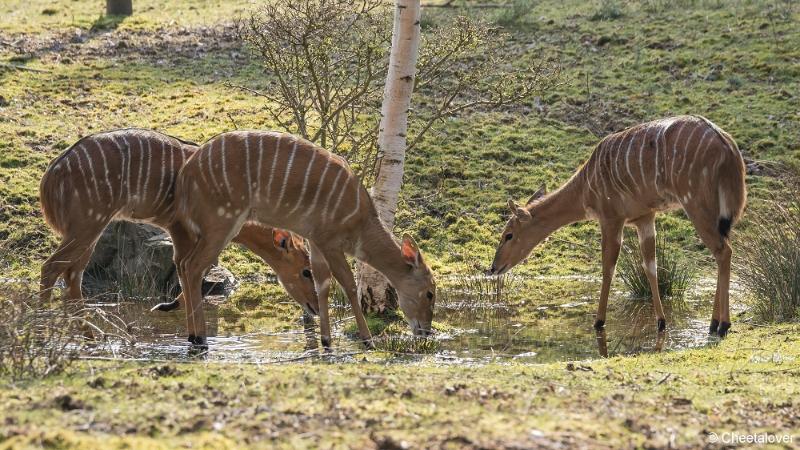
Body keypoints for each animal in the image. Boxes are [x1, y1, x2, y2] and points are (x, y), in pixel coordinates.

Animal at [36, 126, 318, 316]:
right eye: (307, 270)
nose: (314, 307)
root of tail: (52, 174)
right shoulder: (190, 230)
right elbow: (197, 267)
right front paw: (171, 306)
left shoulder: (177, 229)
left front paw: (169, 305)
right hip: (87, 225)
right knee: (51, 268)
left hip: (89, 231)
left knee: (71, 274)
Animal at [172, 130, 438, 348]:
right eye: (429, 293)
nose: (425, 331)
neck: (360, 221)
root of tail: (187, 171)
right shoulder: (330, 241)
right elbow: (349, 285)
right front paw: (367, 339)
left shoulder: (315, 241)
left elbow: (322, 285)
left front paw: (327, 341)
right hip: (223, 221)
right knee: (192, 266)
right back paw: (200, 339)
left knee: (184, 264)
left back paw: (192, 336)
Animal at [490, 116, 748, 338]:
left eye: (508, 235)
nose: (493, 268)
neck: (585, 187)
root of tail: (727, 147)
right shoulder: (645, 218)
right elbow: (650, 267)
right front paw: (661, 322)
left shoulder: (611, 218)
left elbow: (608, 269)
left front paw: (599, 321)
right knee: (721, 250)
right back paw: (713, 323)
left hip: (695, 203)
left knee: (723, 251)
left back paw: (723, 324)